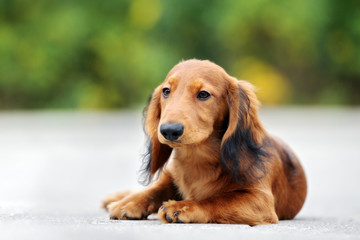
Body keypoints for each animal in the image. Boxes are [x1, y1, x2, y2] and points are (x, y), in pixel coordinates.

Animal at [103, 59, 306, 224]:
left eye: (203, 94)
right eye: (166, 91)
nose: (169, 130)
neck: (197, 159)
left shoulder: (260, 200)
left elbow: (216, 200)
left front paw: (182, 207)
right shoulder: (171, 177)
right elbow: (154, 190)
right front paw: (129, 203)